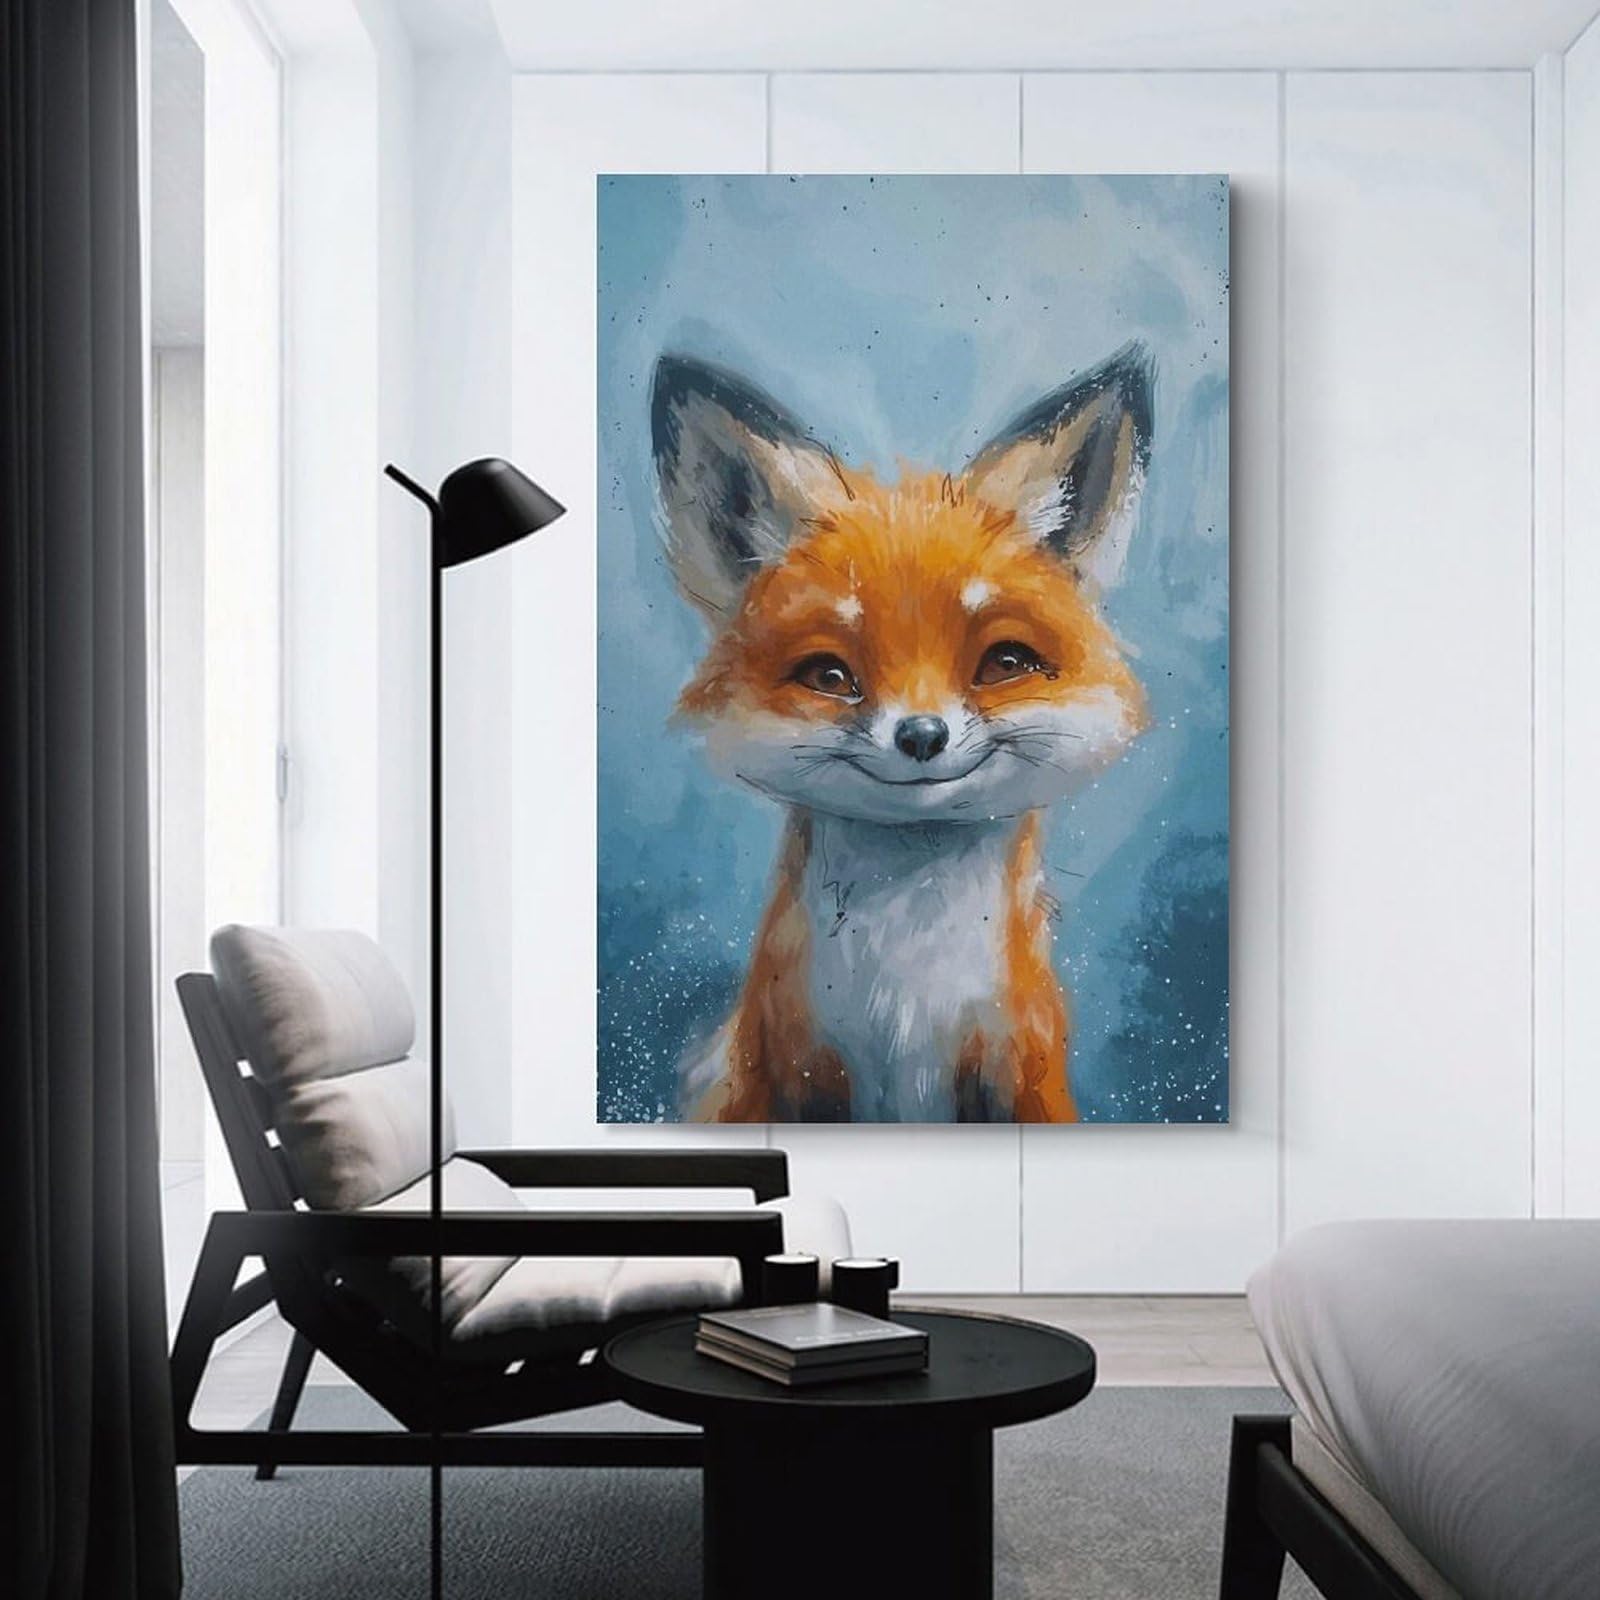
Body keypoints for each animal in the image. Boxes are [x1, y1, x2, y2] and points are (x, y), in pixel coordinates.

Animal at [650, 344, 1154, 1123]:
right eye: (830, 675)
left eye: (1004, 663)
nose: (922, 735)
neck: (906, 1003)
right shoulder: (790, 1067)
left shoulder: (1021, 1070)